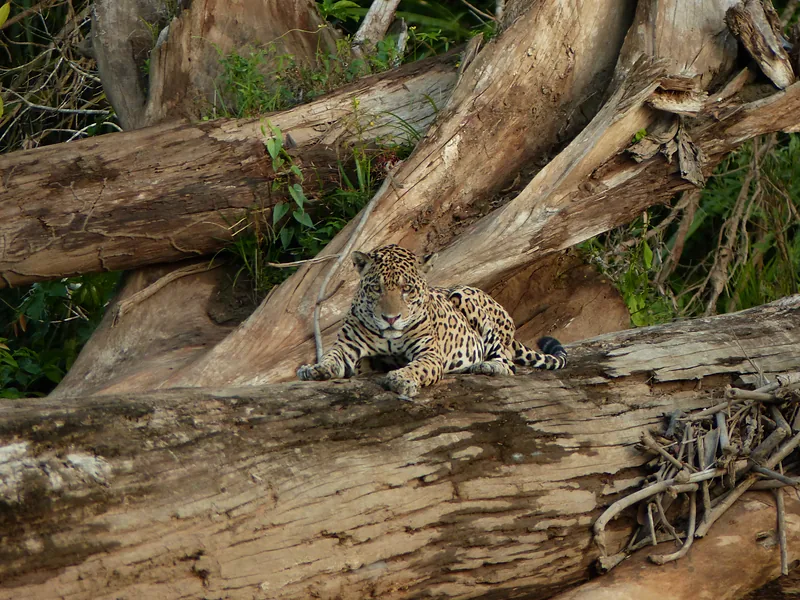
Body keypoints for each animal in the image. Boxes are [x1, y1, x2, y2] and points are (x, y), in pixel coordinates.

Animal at [297, 244, 567, 398]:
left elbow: (418, 367)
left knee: (508, 361)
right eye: (376, 288)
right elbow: (331, 357)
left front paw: (401, 378)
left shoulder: (429, 354)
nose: (391, 318)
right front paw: (314, 368)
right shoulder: (347, 346)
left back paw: (487, 366)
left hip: (466, 296)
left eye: (406, 289)